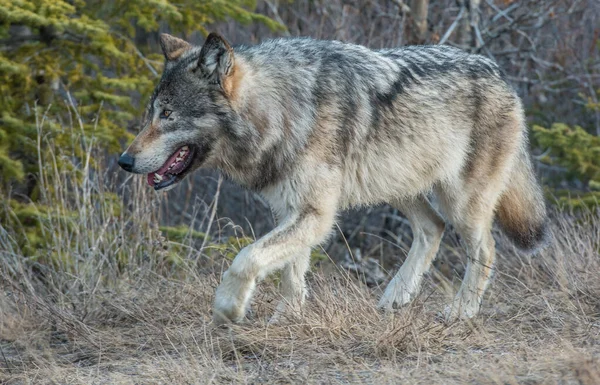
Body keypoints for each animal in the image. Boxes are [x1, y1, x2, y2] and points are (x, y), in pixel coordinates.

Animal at [117, 31, 548, 322]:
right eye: (152, 112)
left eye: (167, 115)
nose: (123, 160)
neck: (282, 112)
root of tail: (501, 74)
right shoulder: (290, 209)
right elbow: (290, 271)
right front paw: (287, 317)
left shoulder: (316, 214)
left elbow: (247, 257)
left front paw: (229, 309)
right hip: (398, 185)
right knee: (432, 228)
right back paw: (395, 296)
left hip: (460, 200)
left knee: (485, 249)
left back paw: (461, 310)